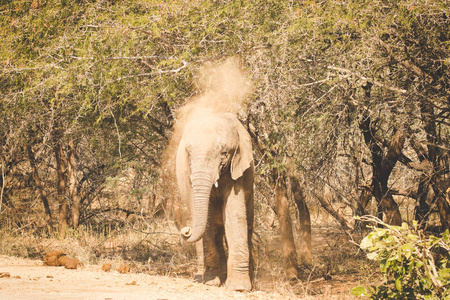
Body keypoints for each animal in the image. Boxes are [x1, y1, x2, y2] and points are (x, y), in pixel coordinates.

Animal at [175, 108, 255, 290]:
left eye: (224, 153)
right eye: (188, 153)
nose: (186, 230)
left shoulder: (237, 168)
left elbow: (234, 215)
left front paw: (238, 287)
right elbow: (208, 219)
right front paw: (212, 281)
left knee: (247, 225)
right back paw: (203, 277)